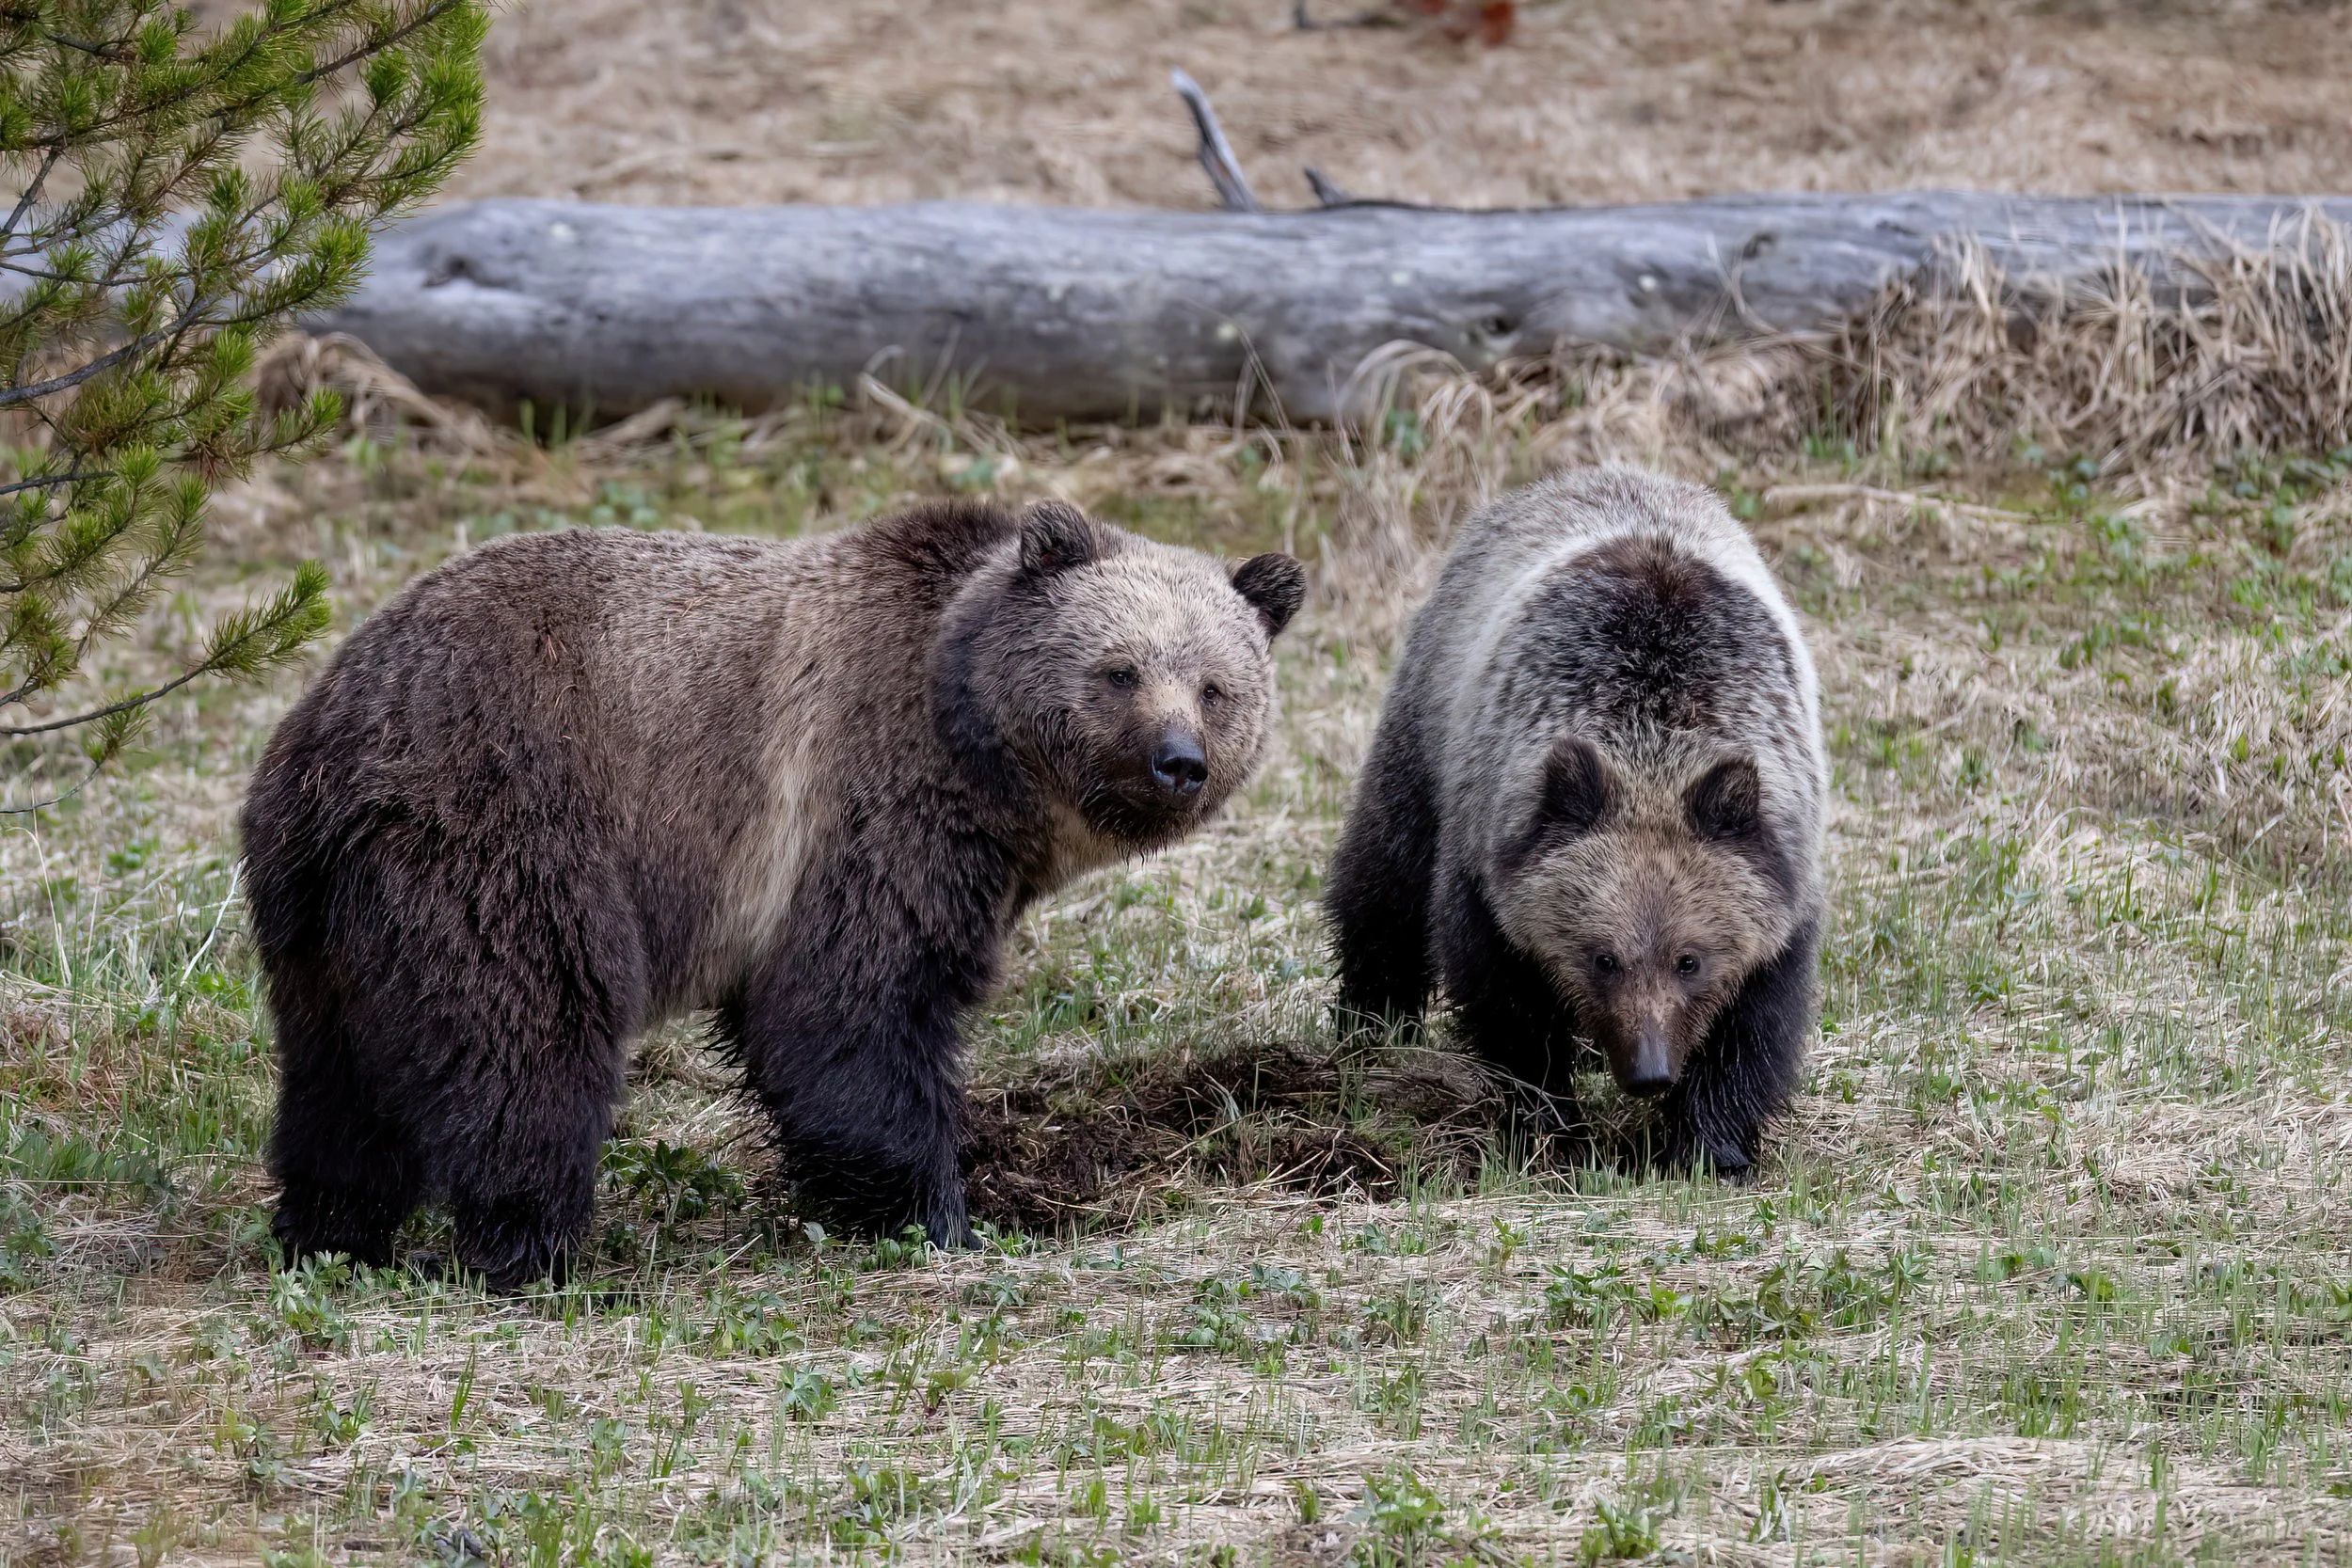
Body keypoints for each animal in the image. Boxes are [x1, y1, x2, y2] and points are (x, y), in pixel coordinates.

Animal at [240, 499, 1305, 1287]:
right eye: (1119, 668)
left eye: (1216, 685)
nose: (1177, 762)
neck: (980, 751)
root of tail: (339, 725)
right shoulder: (865, 804)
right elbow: (848, 1015)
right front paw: (942, 1213)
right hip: (508, 824)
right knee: (529, 1036)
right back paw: (535, 1247)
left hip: (321, 911)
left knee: (340, 1079)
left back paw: (331, 1230)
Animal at [1323, 466, 1825, 1174]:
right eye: (1602, 957)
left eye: (1689, 960)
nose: (1649, 1070)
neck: (1651, 739)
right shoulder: (1491, 853)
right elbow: (1508, 1006)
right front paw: (1550, 1127)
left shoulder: (1780, 884)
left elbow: (1754, 1027)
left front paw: (1708, 1144)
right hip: (1422, 725)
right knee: (1385, 879)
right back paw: (1372, 1021)